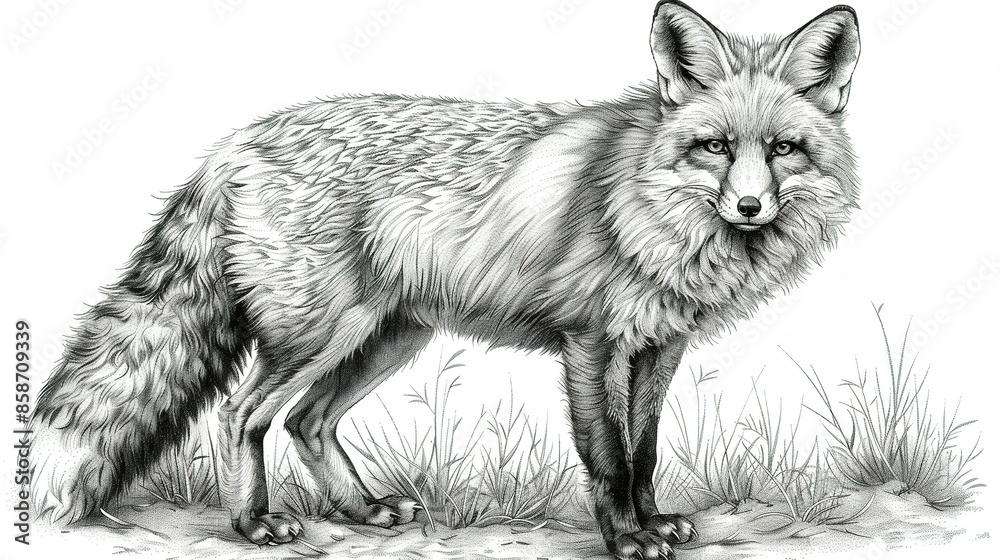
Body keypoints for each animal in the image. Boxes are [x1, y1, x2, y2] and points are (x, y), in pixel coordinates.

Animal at [31, 2, 860, 559]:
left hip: (384, 339)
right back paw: (253, 522)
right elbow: (608, 456)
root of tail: (234, 142)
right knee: (243, 415)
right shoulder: (590, 344)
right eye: (715, 147)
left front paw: (652, 522)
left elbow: (646, 451)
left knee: (307, 422)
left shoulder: (661, 347)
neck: (646, 210)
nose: (750, 207)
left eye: (783, 149)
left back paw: (362, 509)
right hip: (315, 334)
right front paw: (626, 539)